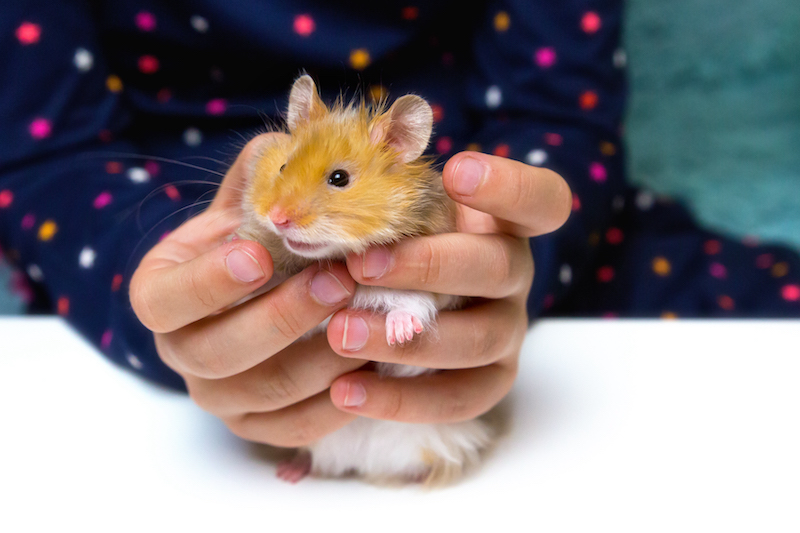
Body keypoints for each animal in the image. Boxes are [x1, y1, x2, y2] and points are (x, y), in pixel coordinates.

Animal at [234, 75, 490, 486]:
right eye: (283, 166)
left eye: (339, 178)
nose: (277, 217)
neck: (334, 255)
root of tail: (361, 465)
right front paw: (243, 260)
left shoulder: (435, 290)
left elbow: (414, 304)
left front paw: (400, 336)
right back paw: (290, 471)